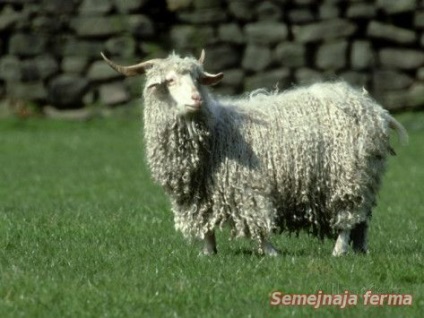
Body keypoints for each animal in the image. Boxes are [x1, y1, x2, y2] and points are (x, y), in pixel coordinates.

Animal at [100, 51, 408, 258]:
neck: (217, 131)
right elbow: (206, 226)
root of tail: (375, 109)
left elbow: (257, 220)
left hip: (348, 176)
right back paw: (358, 249)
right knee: (361, 220)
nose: (196, 99)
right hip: (361, 176)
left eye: (197, 79)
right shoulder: (199, 195)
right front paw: (208, 253)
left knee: (348, 217)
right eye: (170, 81)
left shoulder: (245, 187)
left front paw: (271, 252)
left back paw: (338, 250)